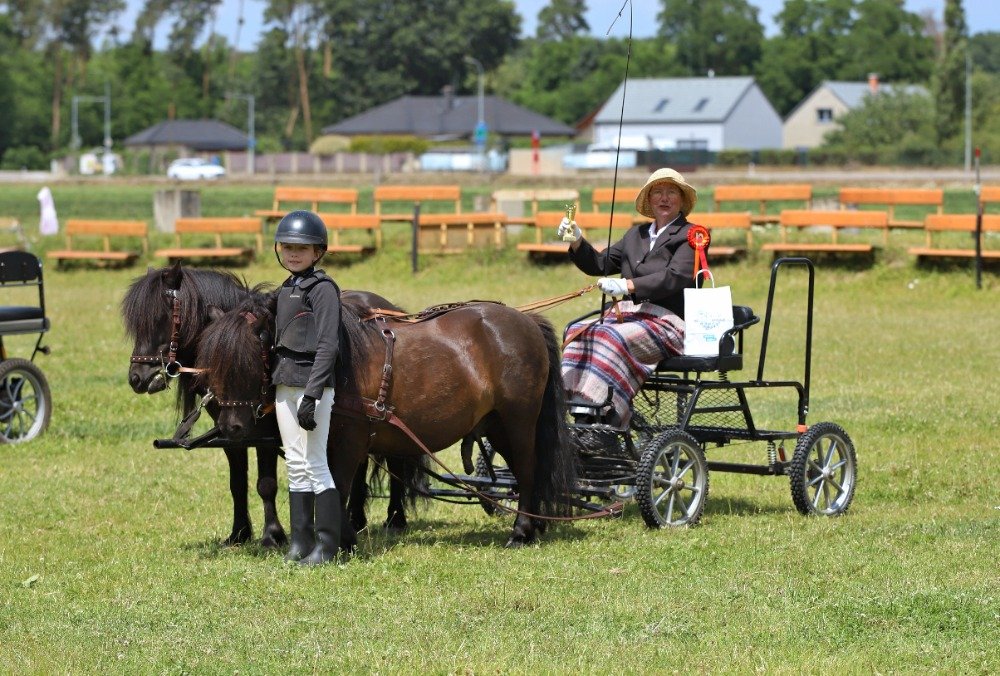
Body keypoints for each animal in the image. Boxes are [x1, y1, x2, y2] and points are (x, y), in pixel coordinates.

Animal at [193, 294, 580, 548]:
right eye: (213, 362)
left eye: (248, 360)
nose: (230, 427)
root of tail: (527, 321)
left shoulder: (350, 440)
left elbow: (341, 485)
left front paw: (344, 539)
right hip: (497, 425)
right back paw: (534, 527)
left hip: (518, 422)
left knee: (527, 470)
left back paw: (521, 531)